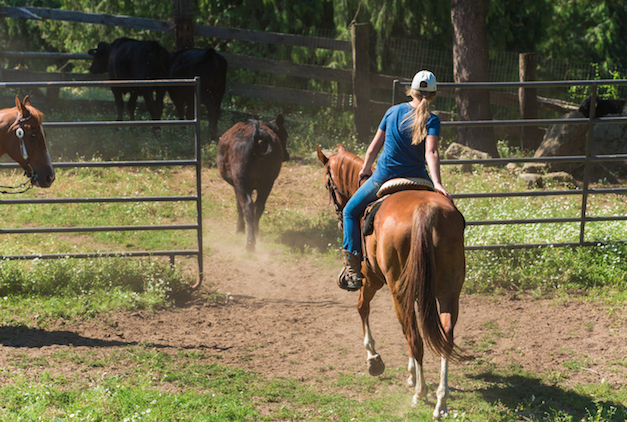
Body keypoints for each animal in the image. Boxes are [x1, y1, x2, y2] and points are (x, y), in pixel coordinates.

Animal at [218, 115, 290, 251]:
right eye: (285, 135)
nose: (287, 155)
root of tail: (259, 139)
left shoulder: (237, 185)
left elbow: (239, 205)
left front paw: (240, 229)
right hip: (267, 183)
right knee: (259, 206)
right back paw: (256, 233)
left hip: (242, 182)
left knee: (248, 206)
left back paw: (250, 243)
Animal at [318, 145, 466, 418]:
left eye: (327, 183)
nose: (338, 213)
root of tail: (426, 212)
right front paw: (411, 374)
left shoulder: (371, 280)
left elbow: (362, 307)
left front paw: (374, 359)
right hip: (448, 291)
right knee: (443, 337)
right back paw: (440, 400)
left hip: (398, 291)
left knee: (414, 336)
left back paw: (420, 393)